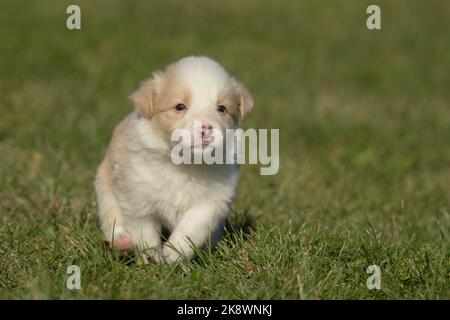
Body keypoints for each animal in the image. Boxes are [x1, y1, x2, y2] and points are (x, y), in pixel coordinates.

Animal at [94, 56, 253, 264]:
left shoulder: (214, 200)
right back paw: (123, 242)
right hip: (104, 184)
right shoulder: (139, 200)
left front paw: (174, 253)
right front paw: (152, 261)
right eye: (179, 107)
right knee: (112, 217)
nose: (206, 127)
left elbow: (193, 225)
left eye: (222, 109)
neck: (186, 164)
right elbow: (146, 234)